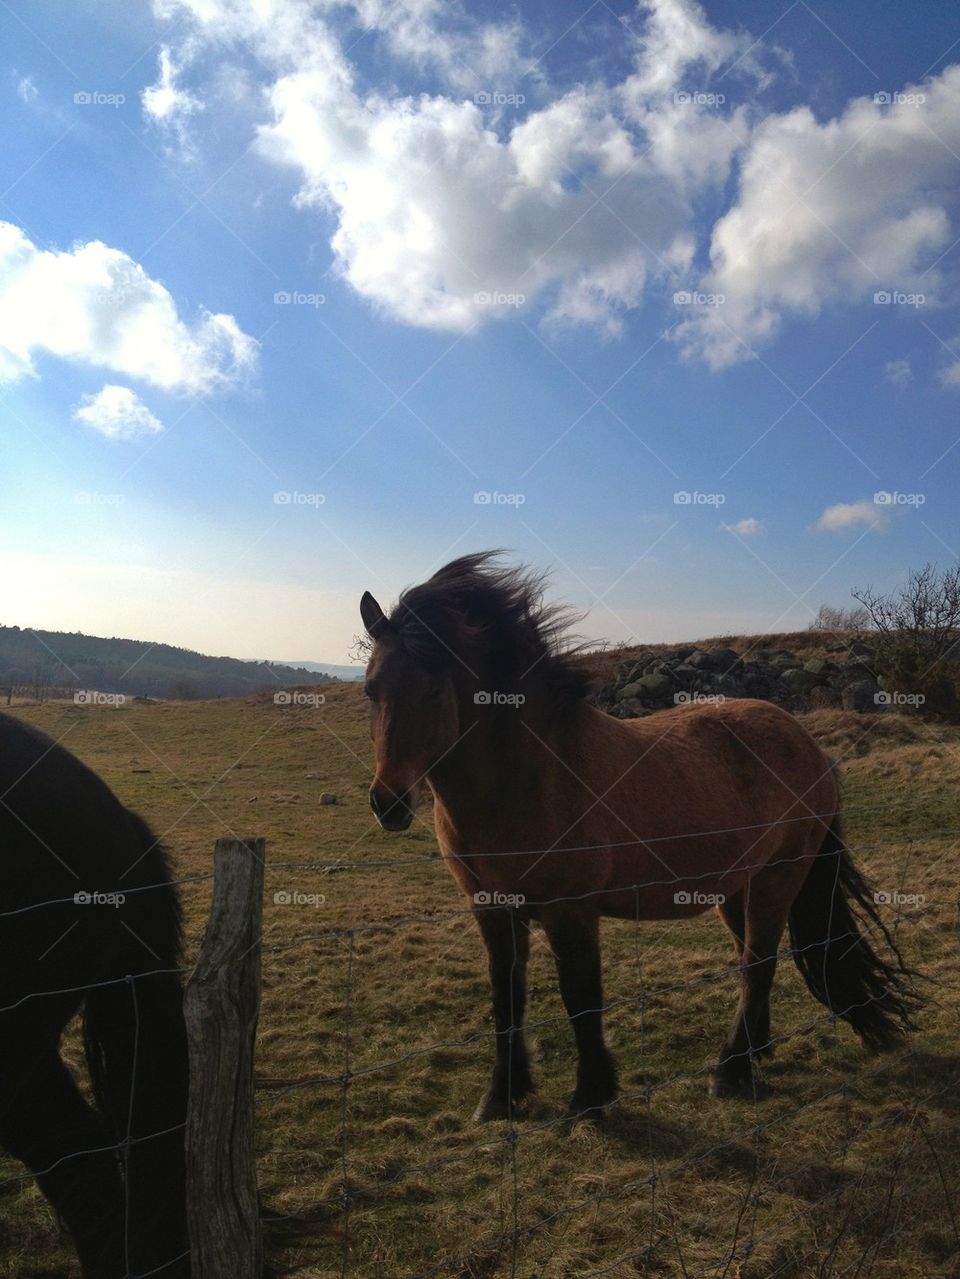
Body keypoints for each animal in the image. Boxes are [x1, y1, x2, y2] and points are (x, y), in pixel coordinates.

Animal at [360, 549, 925, 1120]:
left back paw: (730, 1070)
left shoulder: (571, 912)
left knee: (759, 962)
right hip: (738, 888)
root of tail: (807, 743)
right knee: (752, 962)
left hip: (777, 879)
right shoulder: (493, 910)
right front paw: (500, 1097)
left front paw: (590, 1097)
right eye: (370, 690)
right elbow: (507, 1001)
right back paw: (754, 1054)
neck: (532, 775)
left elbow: (581, 999)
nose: (389, 803)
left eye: (434, 689)